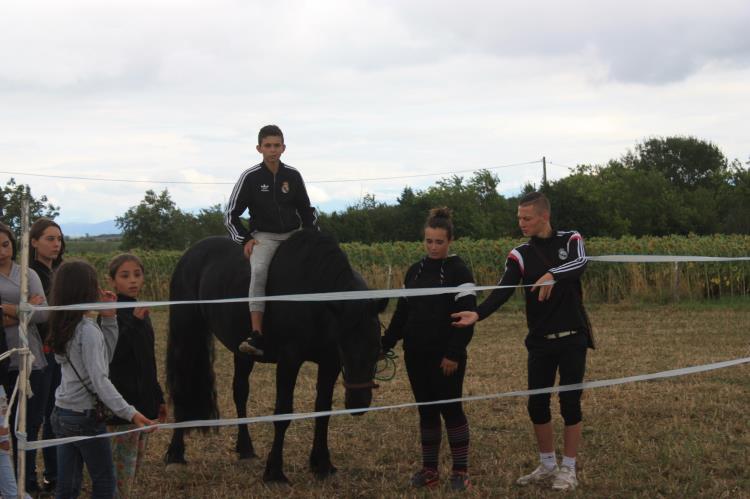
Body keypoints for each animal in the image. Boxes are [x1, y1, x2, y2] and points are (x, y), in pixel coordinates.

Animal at [166, 231, 388, 484]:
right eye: (344, 347)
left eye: (377, 348)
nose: (358, 404)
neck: (312, 297)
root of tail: (189, 254)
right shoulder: (290, 360)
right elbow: (283, 413)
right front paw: (275, 473)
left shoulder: (329, 363)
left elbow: (323, 411)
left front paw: (322, 465)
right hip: (186, 333)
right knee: (181, 387)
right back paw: (175, 455)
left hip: (241, 352)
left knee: (240, 392)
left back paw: (246, 450)